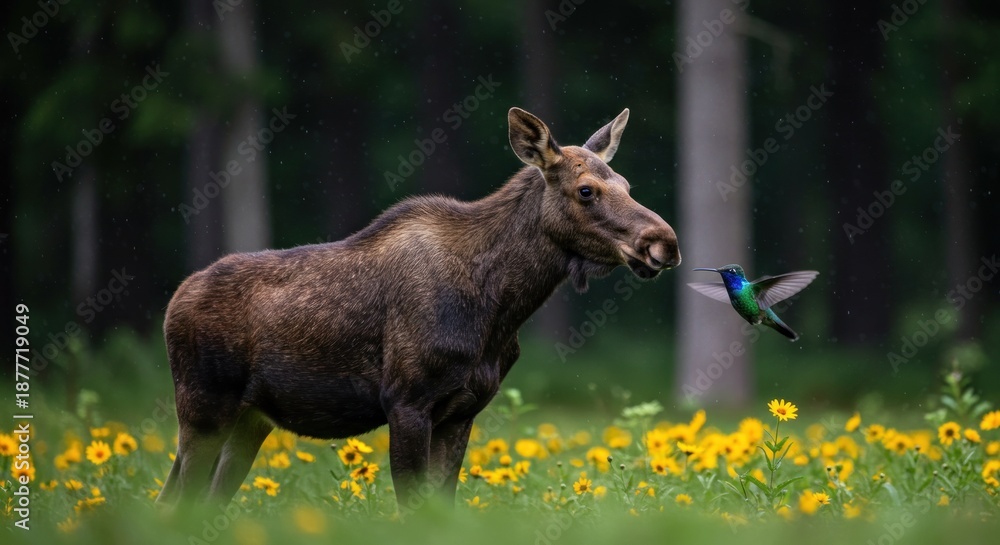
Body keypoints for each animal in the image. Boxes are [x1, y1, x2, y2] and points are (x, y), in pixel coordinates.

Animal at [155, 107, 681, 513]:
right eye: (586, 189)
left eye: (627, 183)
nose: (664, 242)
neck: (500, 309)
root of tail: (174, 301)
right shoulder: (406, 400)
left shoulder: (463, 410)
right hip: (203, 408)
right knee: (175, 501)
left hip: (250, 421)